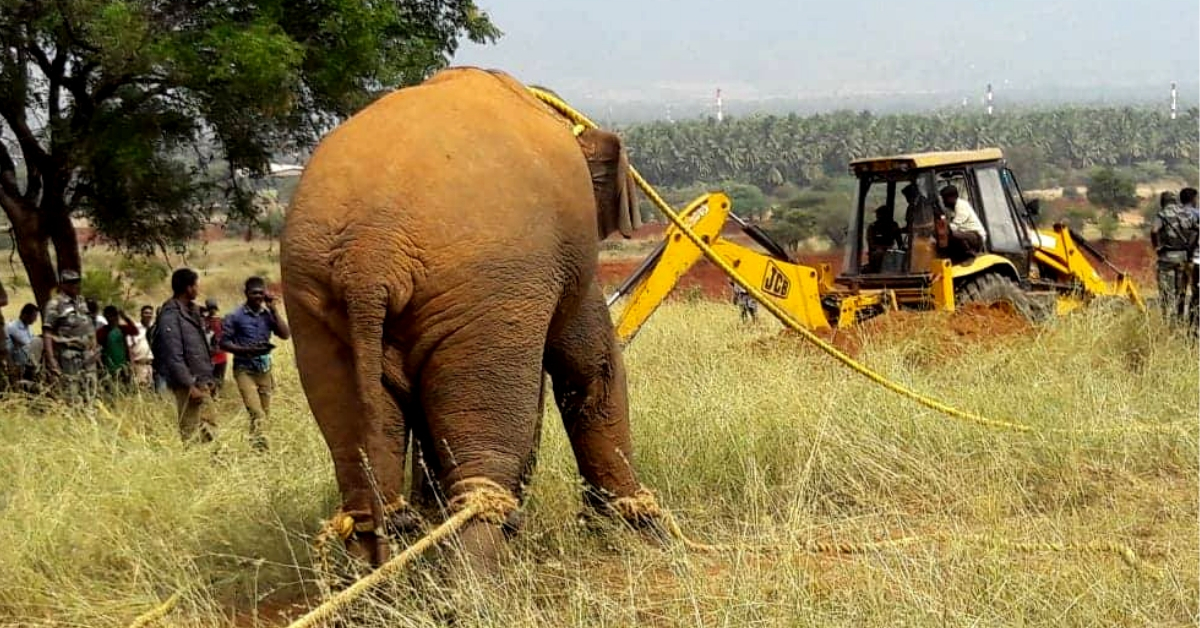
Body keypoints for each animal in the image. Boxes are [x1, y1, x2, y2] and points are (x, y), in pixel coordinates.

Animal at [277, 66, 662, 571]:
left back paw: (380, 572)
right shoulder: (561, 264)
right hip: (485, 290)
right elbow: (592, 367)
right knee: (483, 459)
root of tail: (370, 251)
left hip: (314, 299)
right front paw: (643, 533)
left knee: (359, 460)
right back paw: (480, 579)